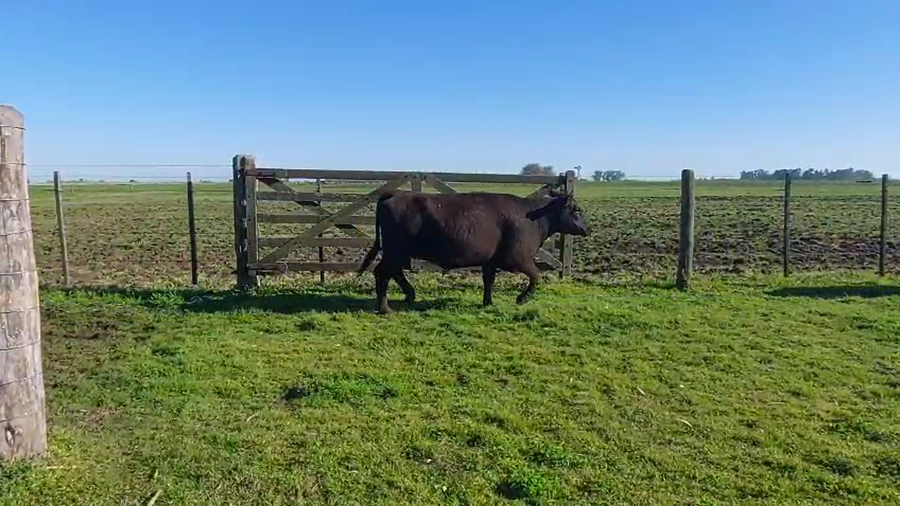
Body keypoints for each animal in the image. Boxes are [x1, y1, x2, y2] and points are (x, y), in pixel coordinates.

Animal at [357, 189, 591, 313]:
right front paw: (522, 298)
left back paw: (409, 295)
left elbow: (489, 280)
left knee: (394, 272)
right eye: (576, 209)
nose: (587, 229)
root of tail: (395, 194)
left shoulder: (491, 261)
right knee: (382, 273)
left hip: (398, 252)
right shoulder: (518, 259)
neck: (533, 218)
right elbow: (536, 276)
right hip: (395, 250)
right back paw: (385, 308)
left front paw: (488, 302)